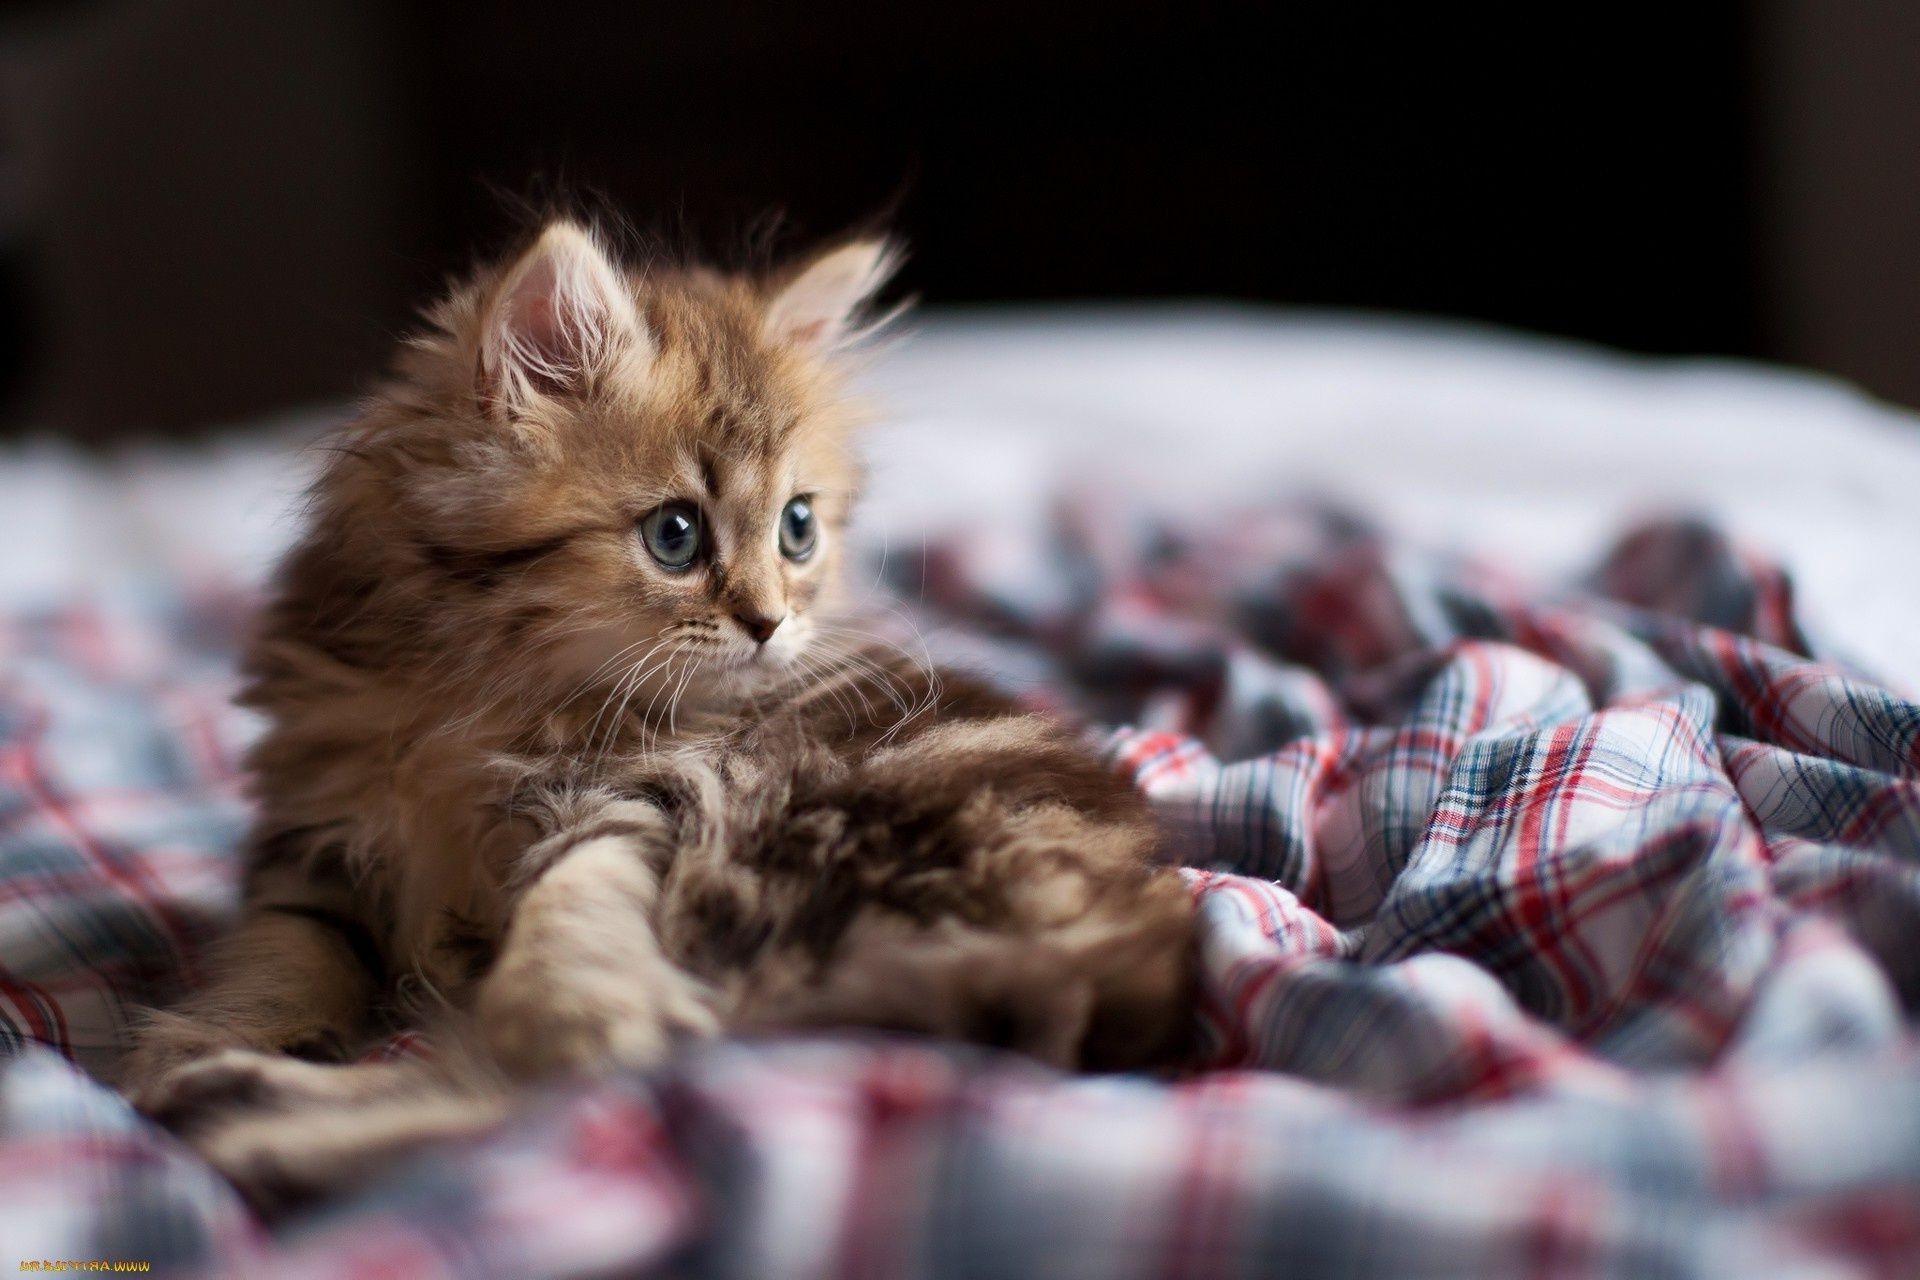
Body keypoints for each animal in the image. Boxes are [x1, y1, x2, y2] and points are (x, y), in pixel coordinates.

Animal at [112, 220, 1190, 1212]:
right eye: (675, 536)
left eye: (798, 527)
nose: (770, 622)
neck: (481, 690)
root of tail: (1114, 962)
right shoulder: (317, 826)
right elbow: (286, 948)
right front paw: (204, 1037)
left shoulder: (644, 789)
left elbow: (573, 911)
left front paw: (571, 1006)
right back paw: (234, 1098)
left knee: (582, 1095)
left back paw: (262, 1127)